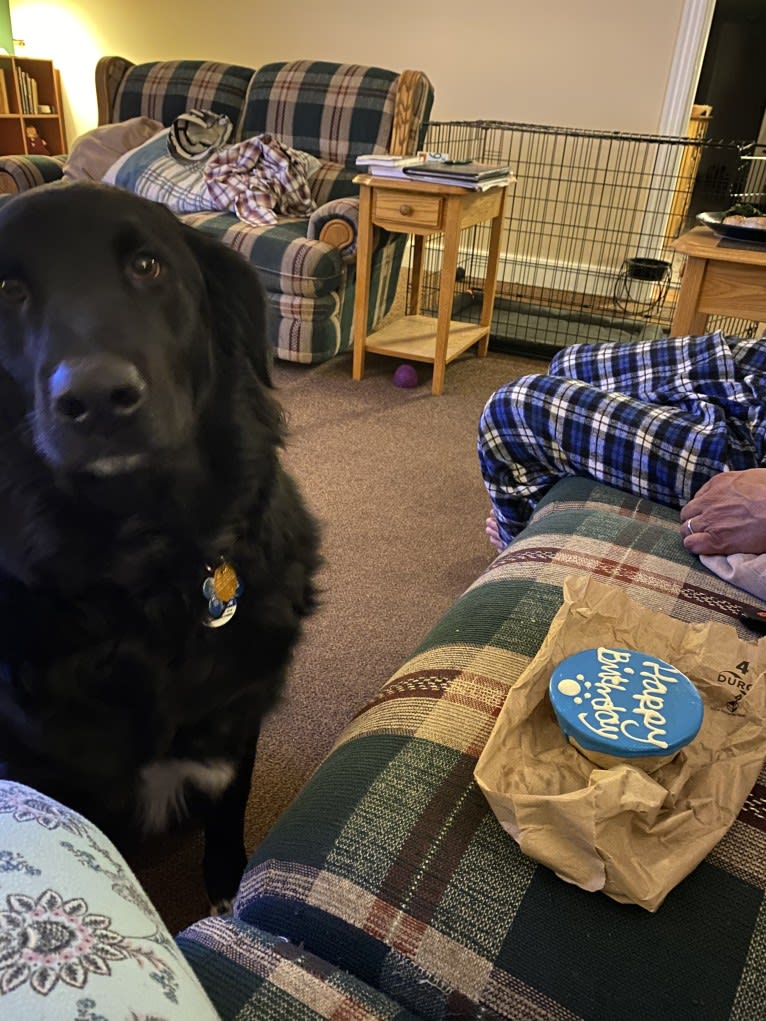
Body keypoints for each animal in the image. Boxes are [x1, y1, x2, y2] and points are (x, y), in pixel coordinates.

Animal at [0, 183, 320, 910]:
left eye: (148, 266)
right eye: (7, 288)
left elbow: (229, 805)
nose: (96, 397)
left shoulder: (236, 714)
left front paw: (228, 886)